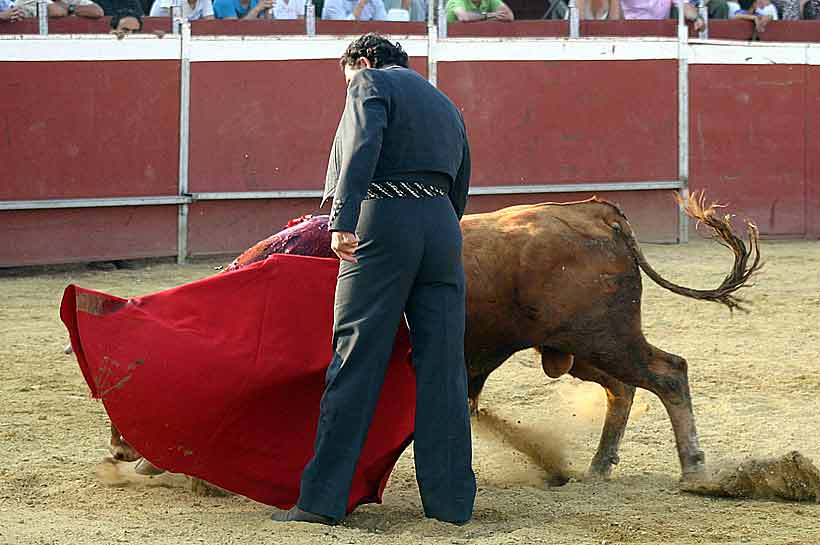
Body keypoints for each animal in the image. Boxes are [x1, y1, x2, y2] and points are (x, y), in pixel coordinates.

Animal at [109, 193, 764, 482]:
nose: (119, 448)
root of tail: (596, 212)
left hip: (607, 336)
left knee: (669, 374)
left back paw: (694, 469)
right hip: (574, 347)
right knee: (623, 390)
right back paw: (598, 467)